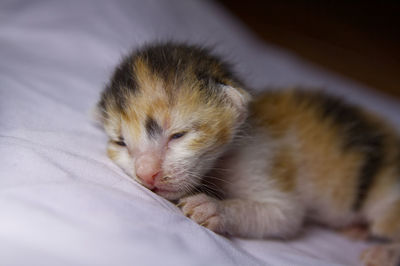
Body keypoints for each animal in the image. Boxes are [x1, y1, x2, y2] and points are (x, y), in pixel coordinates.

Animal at [96, 42, 400, 264]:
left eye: (178, 135)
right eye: (121, 143)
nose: (146, 173)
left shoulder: (262, 160)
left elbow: (284, 215)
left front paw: (213, 208)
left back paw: (384, 252)